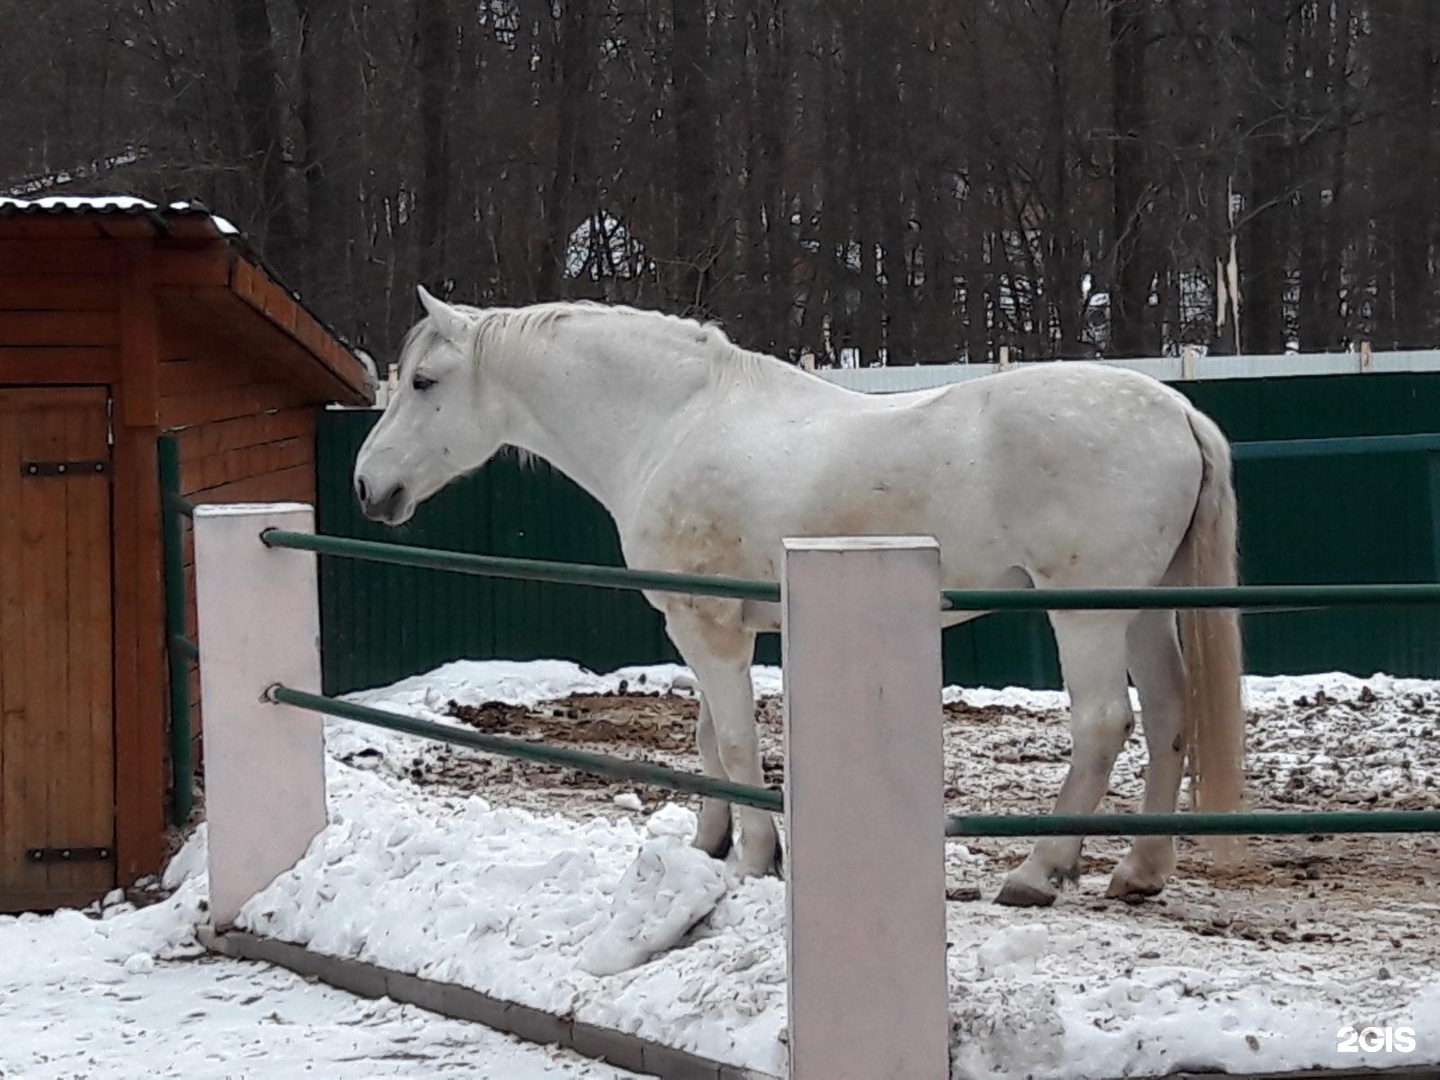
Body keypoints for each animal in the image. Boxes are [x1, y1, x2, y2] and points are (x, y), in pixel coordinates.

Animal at [354, 285, 1244, 904]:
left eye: (425, 381)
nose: (368, 485)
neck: (674, 422)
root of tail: (1177, 411)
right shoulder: (704, 628)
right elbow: (709, 742)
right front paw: (712, 843)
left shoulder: (712, 630)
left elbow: (738, 743)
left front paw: (757, 854)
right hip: (1143, 609)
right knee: (1168, 716)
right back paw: (1140, 868)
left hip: (1085, 611)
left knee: (1103, 722)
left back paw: (1039, 869)